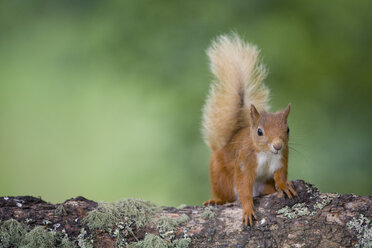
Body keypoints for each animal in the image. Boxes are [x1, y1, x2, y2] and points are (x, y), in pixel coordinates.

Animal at [202, 34, 298, 226]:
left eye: (288, 129)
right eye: (259, 132)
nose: (277, 146)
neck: (266, 154)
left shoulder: (281, 160)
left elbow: (280, 175)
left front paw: (284, 185)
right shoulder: (244, 163)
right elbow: (244, 188)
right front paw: (247, 210)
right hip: (221, 178)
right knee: (228, 196)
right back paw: (216, 200)